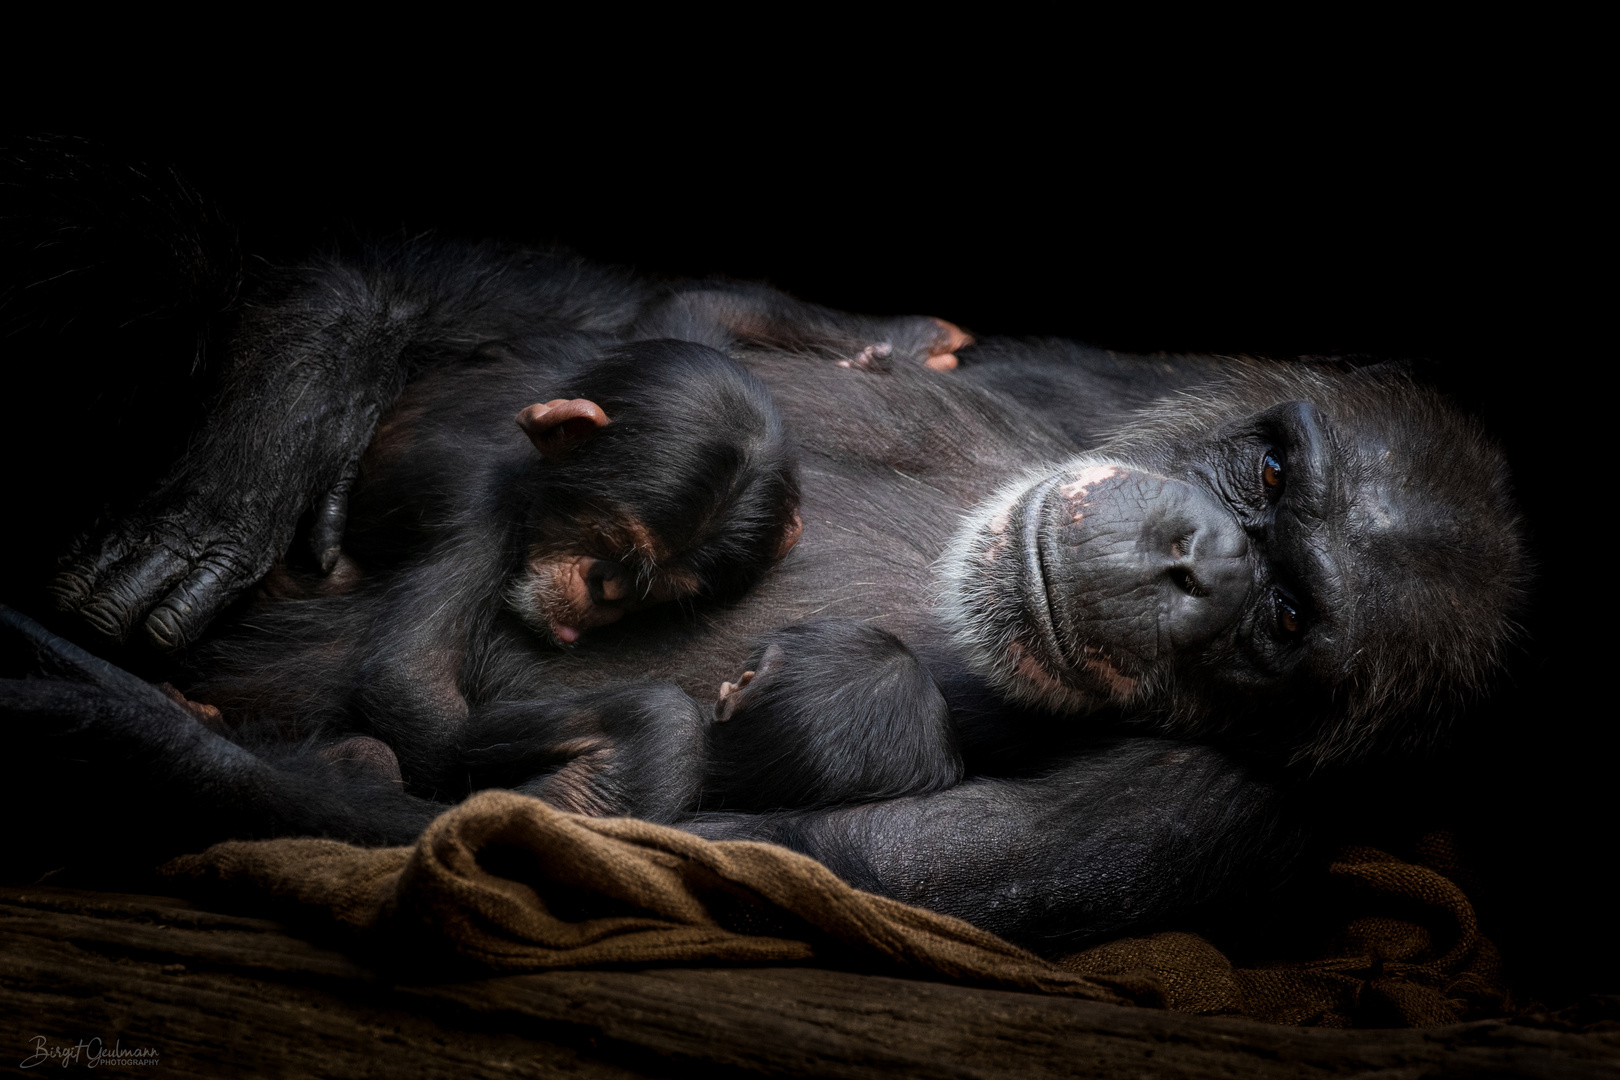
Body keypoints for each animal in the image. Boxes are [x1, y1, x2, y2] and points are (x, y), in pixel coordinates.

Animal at [0, 141, 1516, 952]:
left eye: (1284, 622)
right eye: (1267, 472)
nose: (1197, 550)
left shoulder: (1187, 827)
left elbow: (680, 858)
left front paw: (112, 726)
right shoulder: (1097, 380)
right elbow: (625, 314)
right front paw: (285, 418)